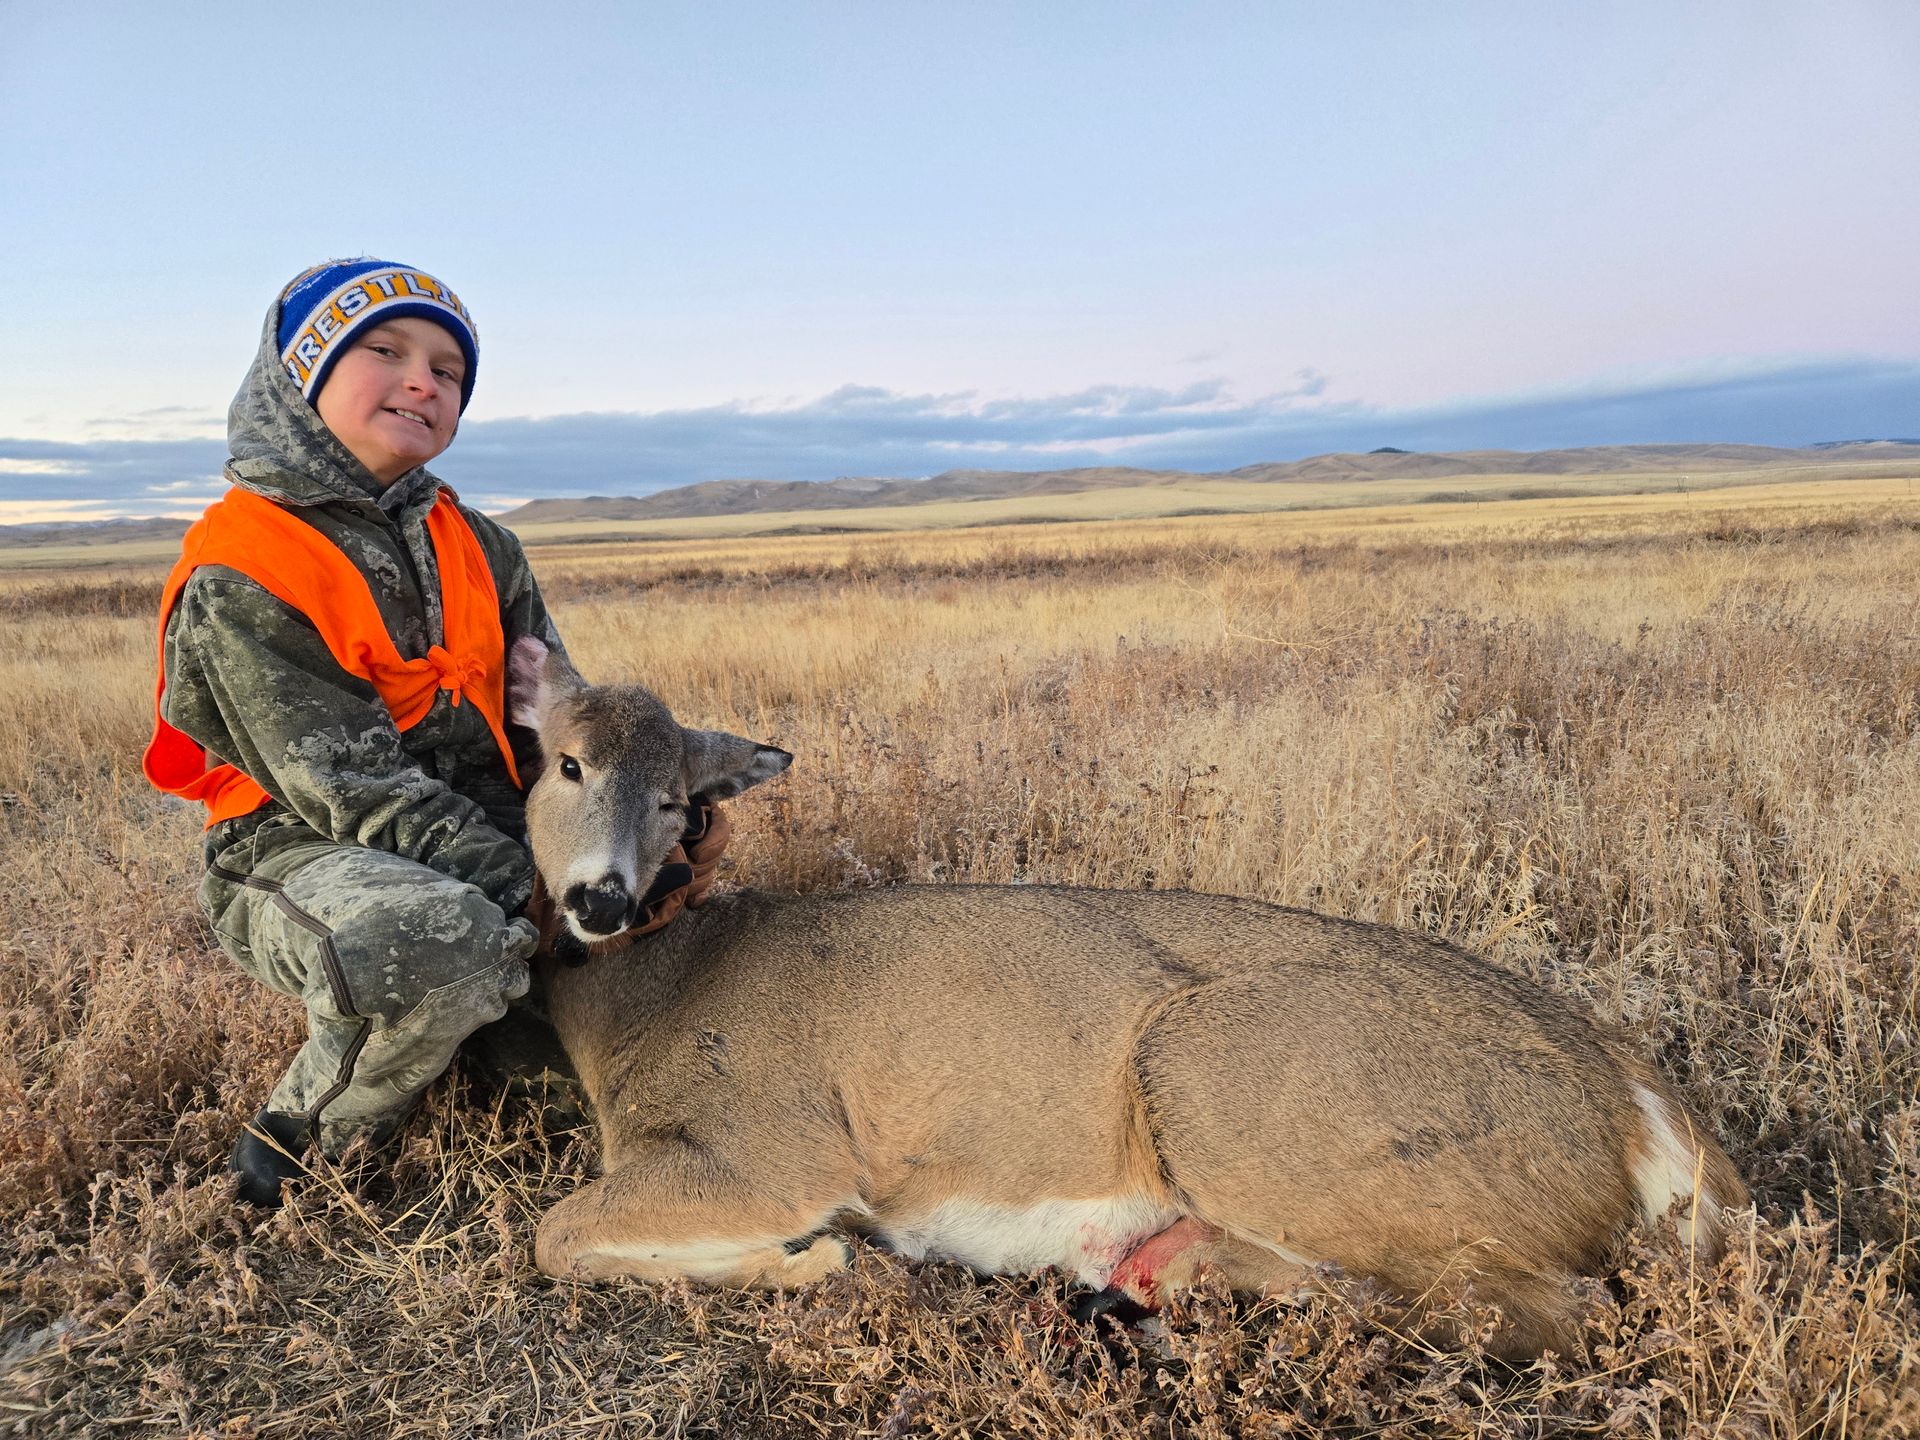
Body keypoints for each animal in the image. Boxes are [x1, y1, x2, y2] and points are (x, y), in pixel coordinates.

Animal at [510, 637, 1748, 1359]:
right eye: (567, 763)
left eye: (677, 801)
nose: (603, 897)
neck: (652, 997)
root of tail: (1641, 1097)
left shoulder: (776, 1145)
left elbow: (553, 1231)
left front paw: (814, 1261)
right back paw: (1149, 1280)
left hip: (1220, 1080)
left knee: (1554, 1313)